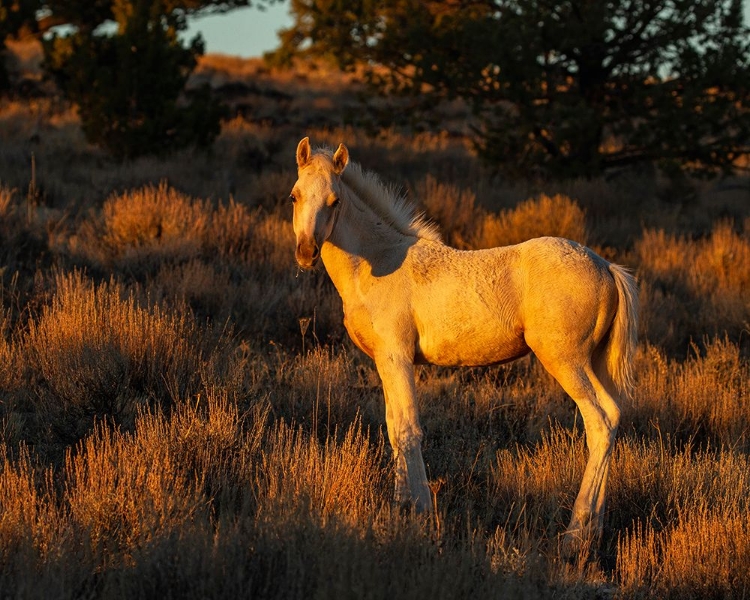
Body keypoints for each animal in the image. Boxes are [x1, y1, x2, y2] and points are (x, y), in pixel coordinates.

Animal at [290, 137, 636, 548]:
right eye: (294, 196)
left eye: (335, 200)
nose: (306, 252)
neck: (378, 260)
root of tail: (608, 268)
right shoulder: (383, 361)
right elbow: (393, 426)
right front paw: (401, 504)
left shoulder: (396, 356)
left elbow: (408, 428)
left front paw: (420, 511)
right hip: (594, 362)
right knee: (612, 417)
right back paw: (593, 530)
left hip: (567, 361)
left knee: (599, 421)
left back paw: (575, 534)